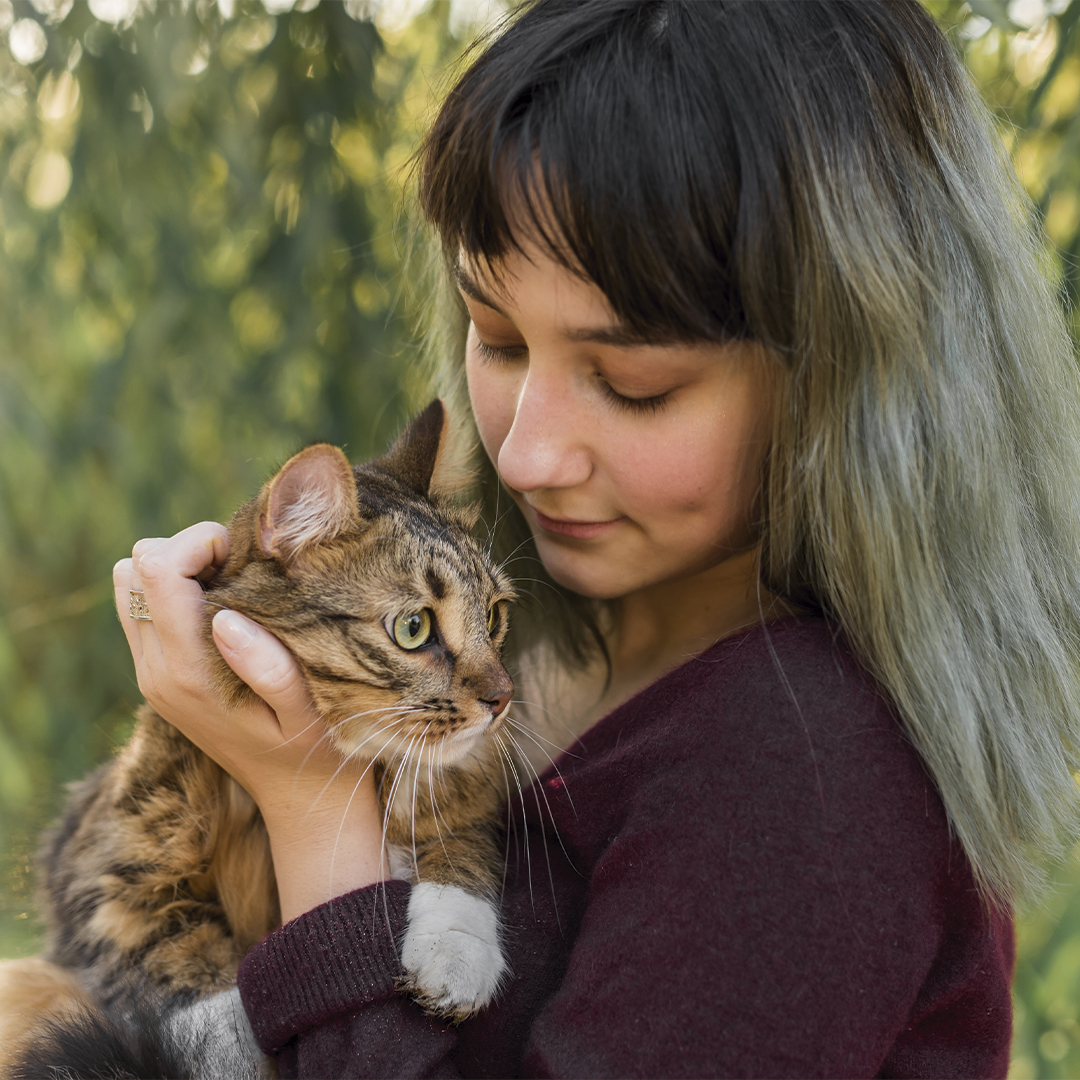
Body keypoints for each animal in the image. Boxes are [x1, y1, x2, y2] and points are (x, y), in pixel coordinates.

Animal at [0, 401, 518, 1075]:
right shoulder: (109, 875)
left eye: (494, 616)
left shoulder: (465, 799)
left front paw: (457, 958)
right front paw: (231, 1054)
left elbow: (461, 857)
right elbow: (194, 979)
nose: (502, 698)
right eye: (413, 628)